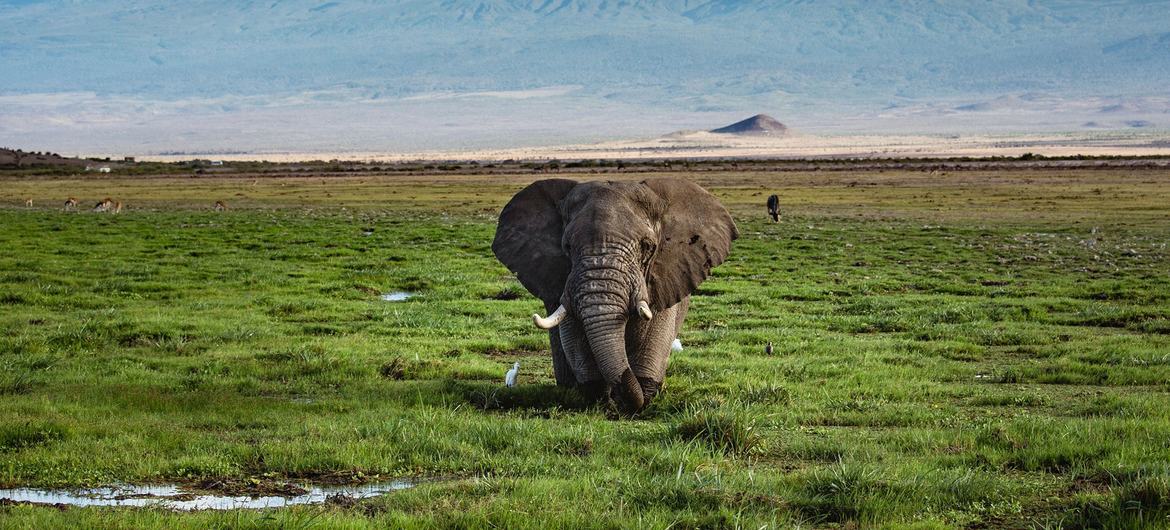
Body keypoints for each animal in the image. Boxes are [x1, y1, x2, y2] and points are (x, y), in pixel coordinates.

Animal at [492, 177, 738, 414]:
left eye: (647, 246)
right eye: (567, 247)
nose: (617, 400)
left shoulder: (668, 269)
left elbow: (656, 327)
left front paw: (640, 399)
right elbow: (573, 332)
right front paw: (601, 397)